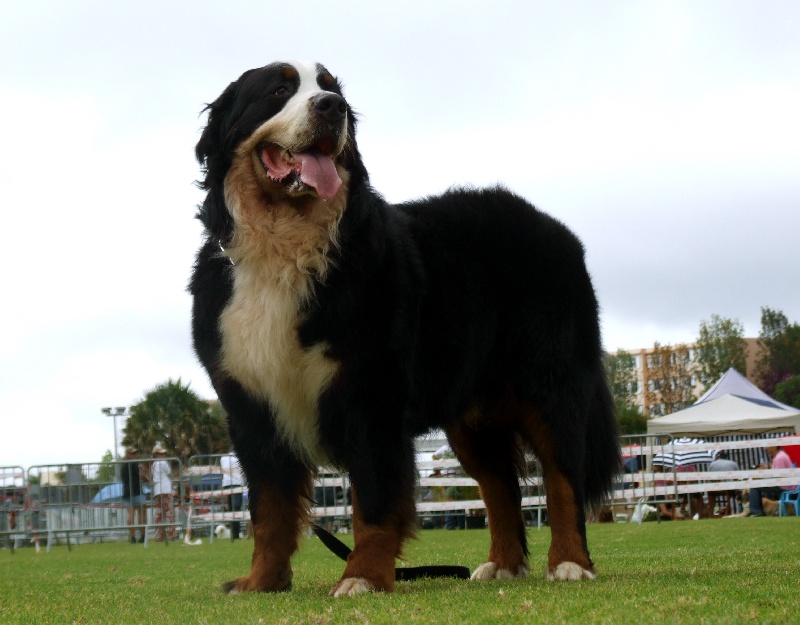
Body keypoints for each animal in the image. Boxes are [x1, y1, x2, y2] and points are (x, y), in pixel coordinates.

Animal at [191, 61, 620, 596]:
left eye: (331, 90)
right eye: (278, 90)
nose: (332, 108)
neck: (283, 250)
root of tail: (557, 229)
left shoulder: (371, 396)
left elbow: (374, 503)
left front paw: (363, 577)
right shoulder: (252, 409)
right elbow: (269, 511)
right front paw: (261, 583)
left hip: (550, 385)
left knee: (563, 479)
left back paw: (570, 563)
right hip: (473, 416)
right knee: (501, 487)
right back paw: (502, 564)